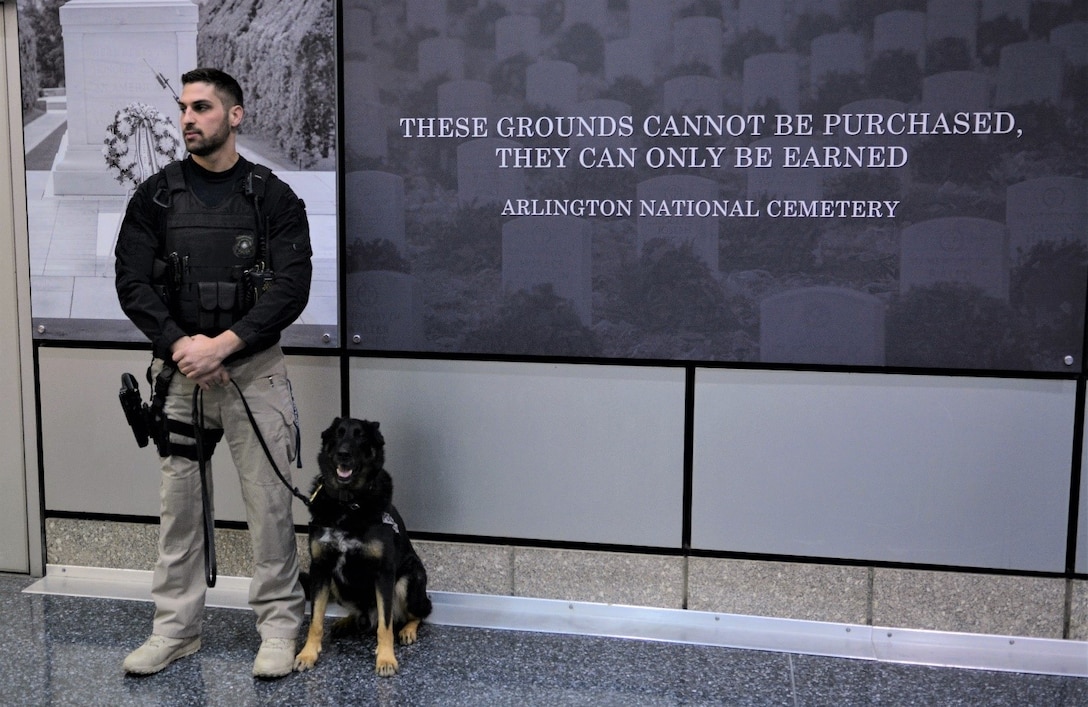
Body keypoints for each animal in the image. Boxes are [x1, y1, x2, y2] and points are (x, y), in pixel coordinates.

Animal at [298, 415, 437, 674]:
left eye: (361, 436)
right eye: (338, 434)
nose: (343, 454)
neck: (347, 504)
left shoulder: (384, 574)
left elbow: (385, 625)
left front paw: (386, 659)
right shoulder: (320, 569)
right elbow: (315, 620)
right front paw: (307, 653)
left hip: (407, 581)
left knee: (419, 612)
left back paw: (407, 630)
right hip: (336, 584)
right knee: (360, 614)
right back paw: (347, 621)